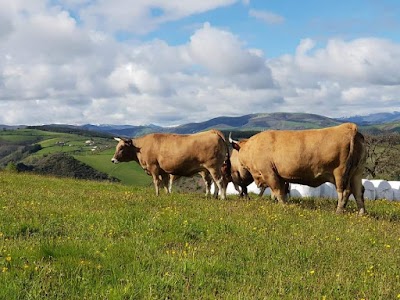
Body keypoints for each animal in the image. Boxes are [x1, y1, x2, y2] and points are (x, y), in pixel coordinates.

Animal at [230, 123, 368, 214]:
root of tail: (349, 127)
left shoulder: (269, 173)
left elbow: (278, 191)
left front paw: (283, 206)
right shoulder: (280, 176)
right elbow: (281, 191)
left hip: (340, 173)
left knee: (345, 191)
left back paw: (338, 212)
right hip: (357, 172)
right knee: (358, 191)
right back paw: (362, 213)